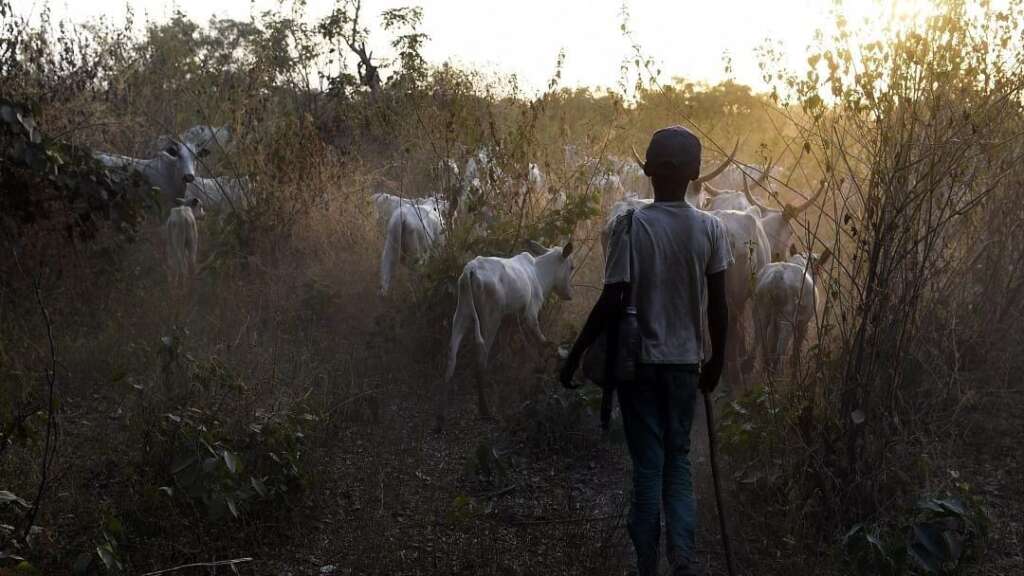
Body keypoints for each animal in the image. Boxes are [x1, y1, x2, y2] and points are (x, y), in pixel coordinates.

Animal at [434, 238, 573, 426]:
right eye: (571, 267)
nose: (569, 295)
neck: (540, 276)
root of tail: (470, 271)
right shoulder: (529, 313)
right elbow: (542, 341)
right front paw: (546, 363)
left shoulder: (509, 318)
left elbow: (506, 348)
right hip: (490, 317)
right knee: (481, 359)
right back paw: (485, 411)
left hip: (462, 313)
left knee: (451, 357)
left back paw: (440, 417)